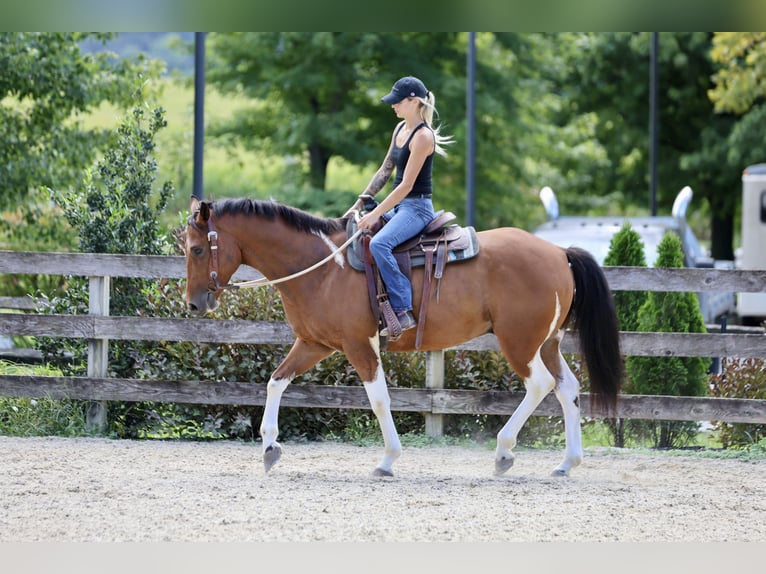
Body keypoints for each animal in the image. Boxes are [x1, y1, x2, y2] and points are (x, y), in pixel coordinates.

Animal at [184, 196, 623, 477]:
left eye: (197, 250)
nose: (193, 303)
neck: (323, 268)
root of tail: (558, 253)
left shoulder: (359, 345)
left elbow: (379, 400)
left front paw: (388, 460)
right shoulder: (314, 343)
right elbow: (276, 381)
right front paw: (270, 448)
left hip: (519, 342)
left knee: (540, 385)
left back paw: (503, 452)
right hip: (547, 343)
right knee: (567, 388)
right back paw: (566, 463)